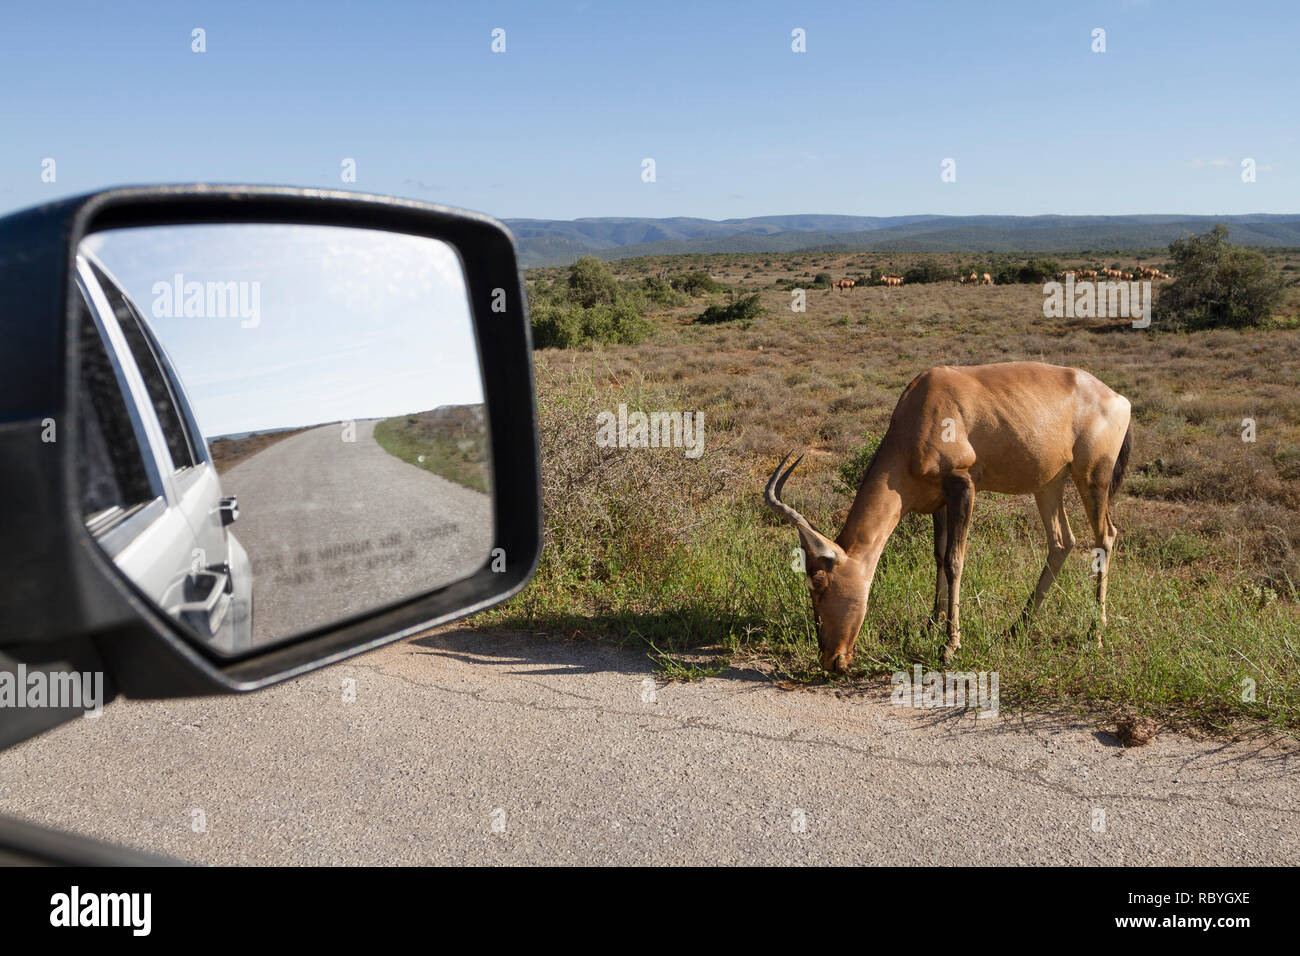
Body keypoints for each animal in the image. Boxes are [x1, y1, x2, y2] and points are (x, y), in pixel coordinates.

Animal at [764, 361, 1133, 671]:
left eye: (819, 581)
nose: (831, 659)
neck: (926, 403)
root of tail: (1118, 398)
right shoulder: (938, 499)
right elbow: (939, 557)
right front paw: (931, 625)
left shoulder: (962, 485)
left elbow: (956, 561)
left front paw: (949, 646)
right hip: (1049, 483)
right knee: (1061, 542)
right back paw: (1016, 628)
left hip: (1093, 477)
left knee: (1105, 537)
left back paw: (1095, 634)